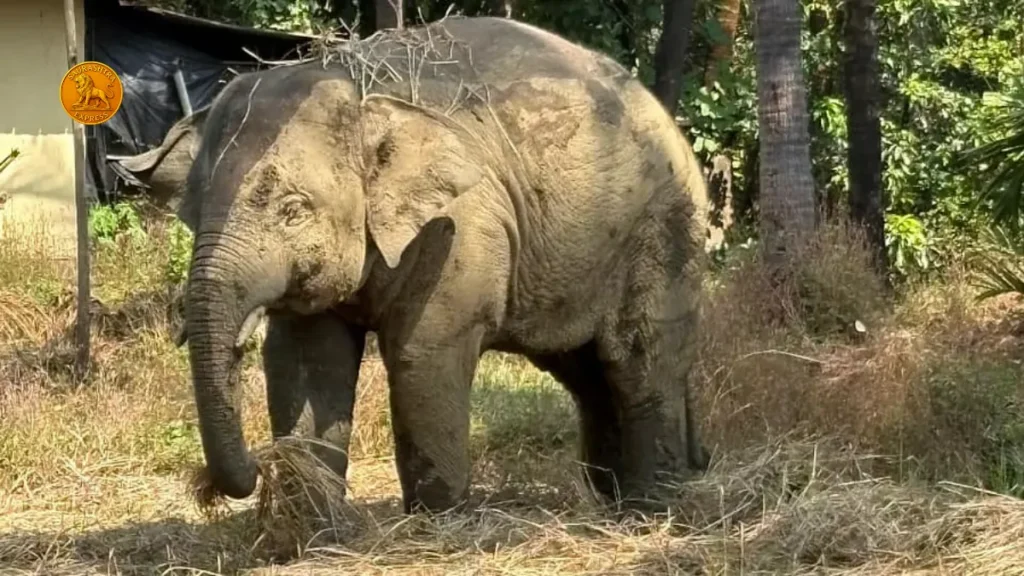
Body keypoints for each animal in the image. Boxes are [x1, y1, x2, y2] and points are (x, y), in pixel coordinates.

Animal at [164, 15, 712, 515]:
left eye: (292, 210)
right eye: (192, 208)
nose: (253, 467)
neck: (354, 83)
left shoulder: (460, 227)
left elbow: (422, 355)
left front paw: (436, 521)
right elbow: (305, 358)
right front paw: (305, 533)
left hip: (661, 228)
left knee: (638, 358)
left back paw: (649, 506)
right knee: (585, 370)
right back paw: (611, 496)